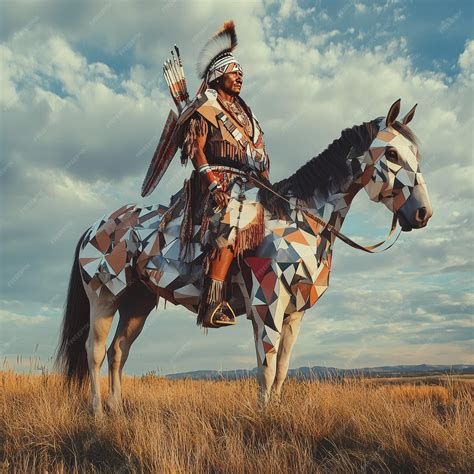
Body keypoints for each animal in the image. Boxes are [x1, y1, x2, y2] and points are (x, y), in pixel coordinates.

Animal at [55, 99, 434, 414]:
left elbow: (281, 369)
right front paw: (264, 419)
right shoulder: (268, 305)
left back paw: (117, 411)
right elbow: (265, 368)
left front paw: (275, 414)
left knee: (119, 352)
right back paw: (98, 414)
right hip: (104, 298)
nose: (422, 214)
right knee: (95, 353)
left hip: (137, 303)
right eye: (392, 154)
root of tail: (94, 228)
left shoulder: (294, 314)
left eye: (417, 155)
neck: (298, 218)